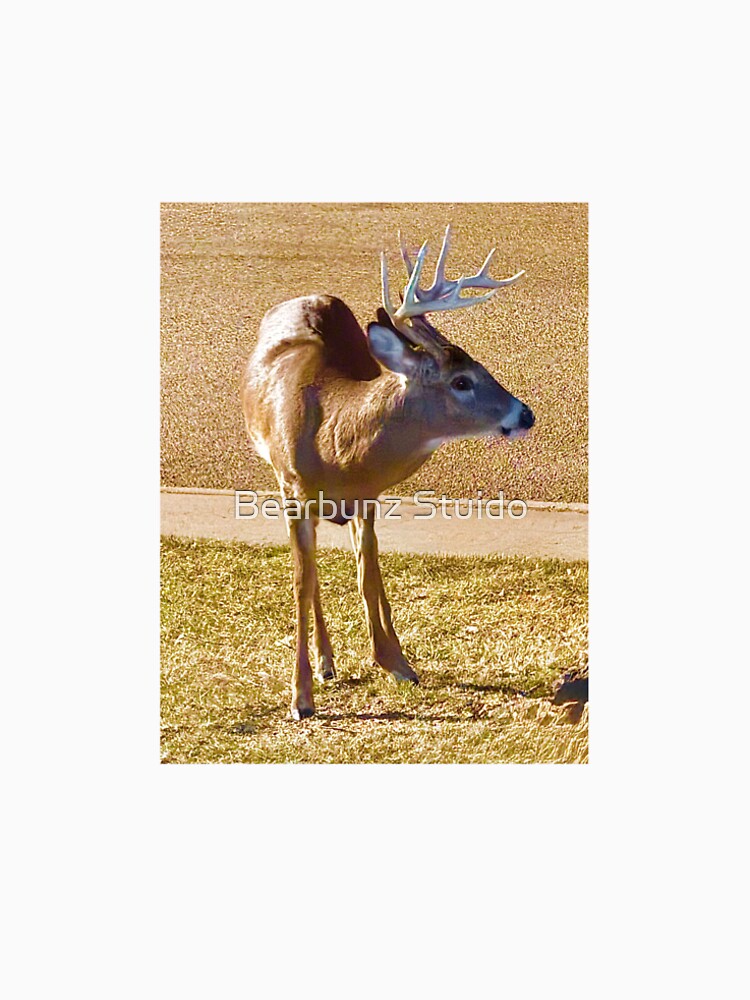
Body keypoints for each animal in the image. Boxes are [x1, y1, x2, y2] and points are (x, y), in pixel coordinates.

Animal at [242, 225, 535, 720]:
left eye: (481, 367)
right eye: (461, 381)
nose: (525, 414)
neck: (333, 439)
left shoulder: (369, 496)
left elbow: (369, 571)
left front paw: (396, 662)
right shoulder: (292, 490)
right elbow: (303, 580)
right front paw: (300, 696)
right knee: (313, 572)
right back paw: (324, 661)